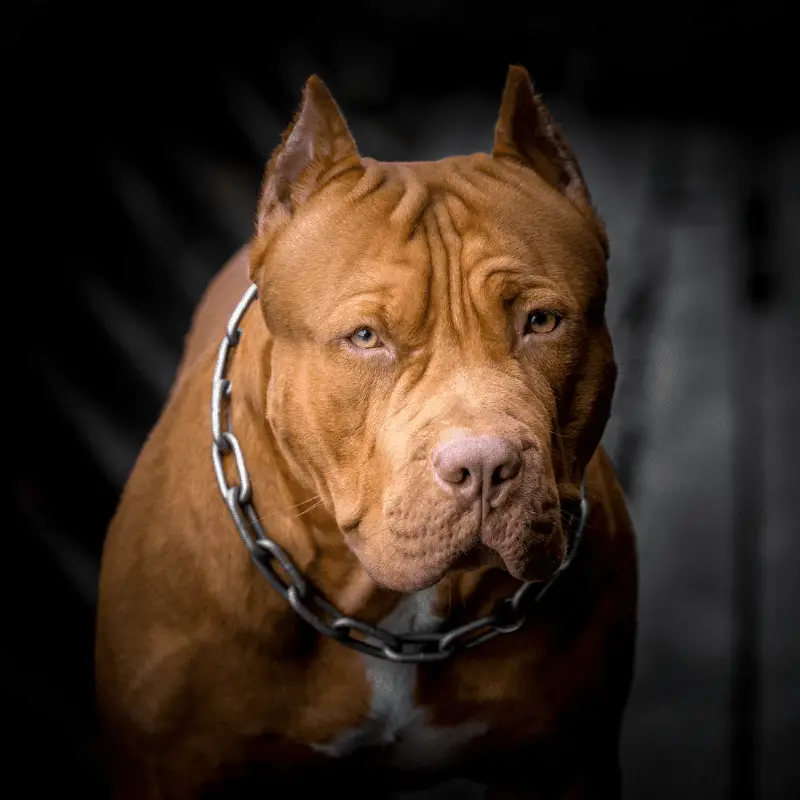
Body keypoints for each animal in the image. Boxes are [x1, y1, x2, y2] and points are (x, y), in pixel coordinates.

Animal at [95, 65, 636, 796]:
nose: (484, 466)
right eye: (365, 338)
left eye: (542, 322)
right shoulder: (165, 765)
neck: (392, 621)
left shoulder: (572, 762)